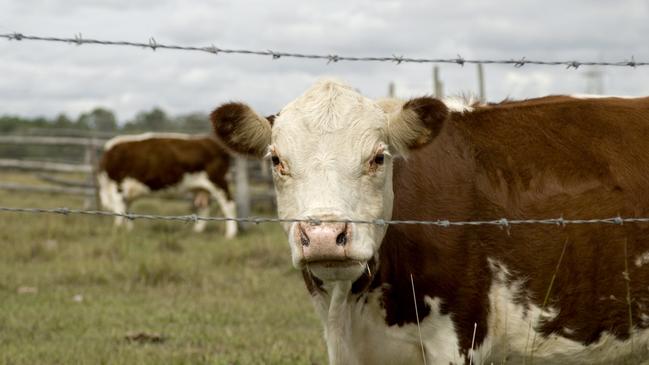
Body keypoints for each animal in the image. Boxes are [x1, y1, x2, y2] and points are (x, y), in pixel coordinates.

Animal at [97, 132, 237, 237]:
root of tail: (209, 140)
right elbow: (126, 211)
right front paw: (128, 230)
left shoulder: (117, 188)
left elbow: (120, 211)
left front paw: (118, 230)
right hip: (201, 188)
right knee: (204, 207)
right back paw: (197, 231)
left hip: (218, 181)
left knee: (229, 205)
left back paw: (231, 234)